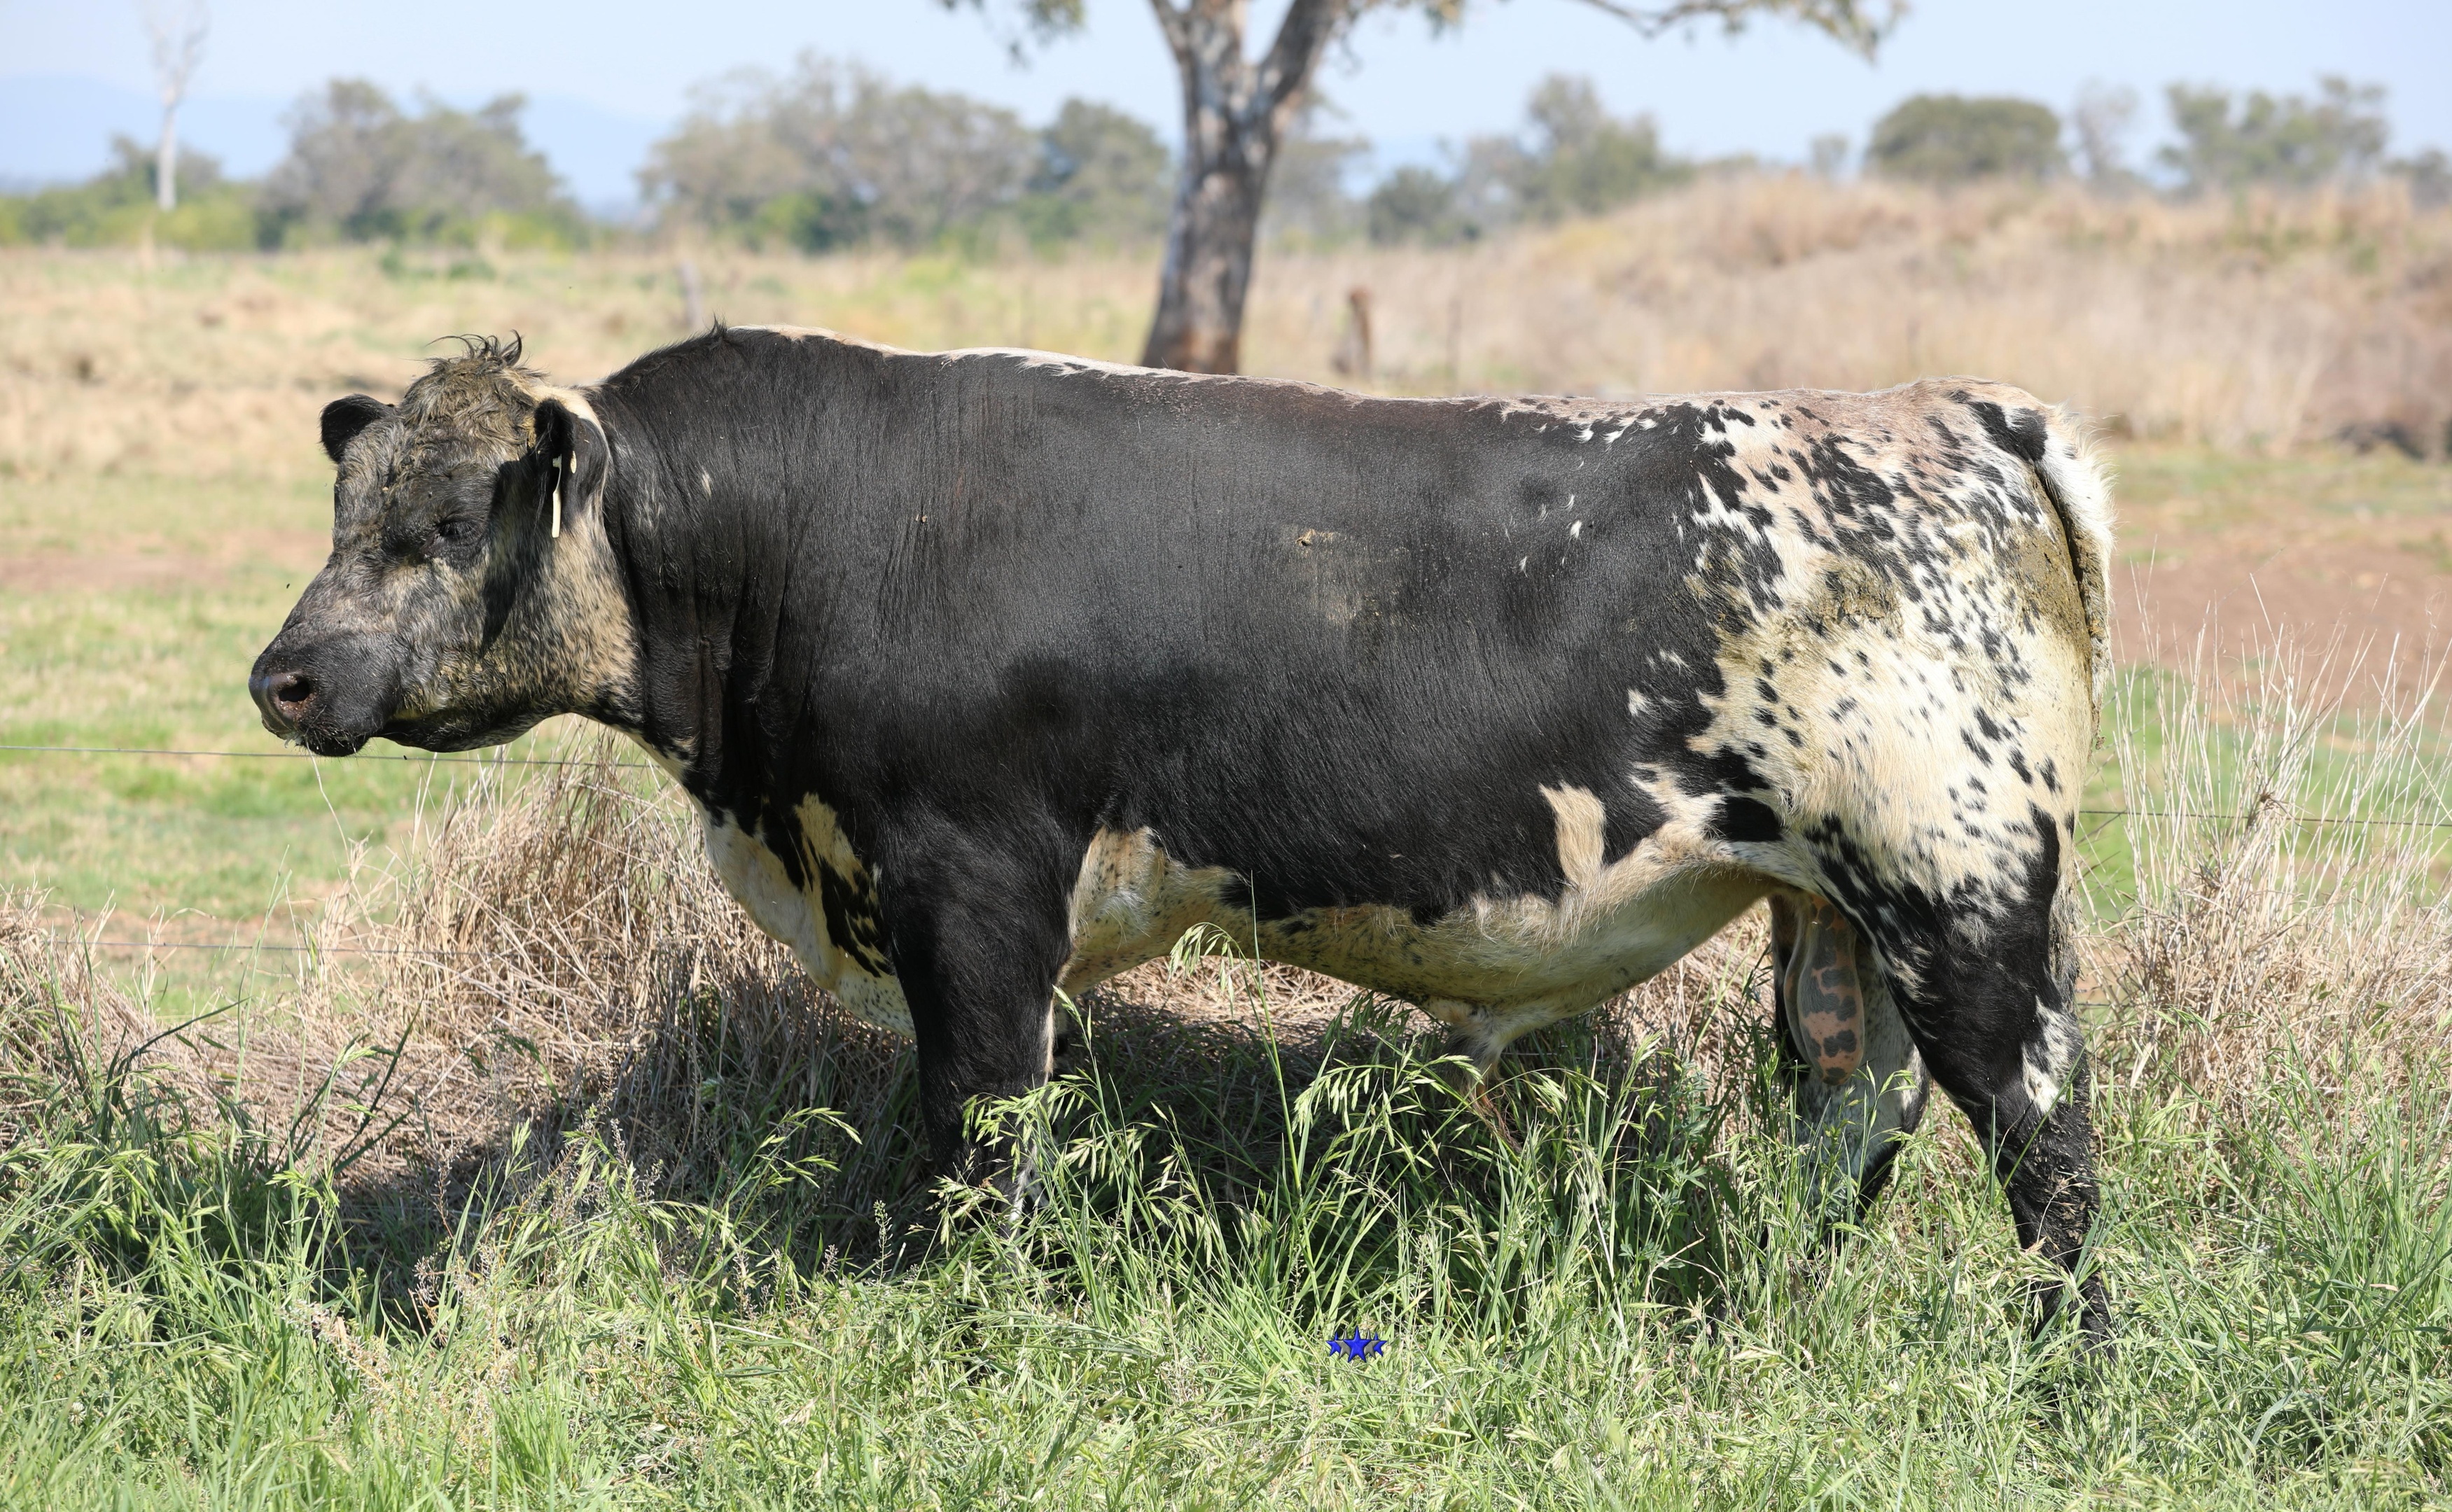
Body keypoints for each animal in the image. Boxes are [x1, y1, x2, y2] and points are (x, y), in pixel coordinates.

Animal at [250, 329, 2115, 1340]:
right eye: (348, 508)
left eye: (442, 527)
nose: (284, 675)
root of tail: (1947, 408)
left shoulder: (973, 889)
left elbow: (979, 1133)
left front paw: (959, 1320)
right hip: (1840, 919)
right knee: (1849, 1116)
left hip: (1963, 891)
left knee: (2044, 1147)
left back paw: (2059, 1370)